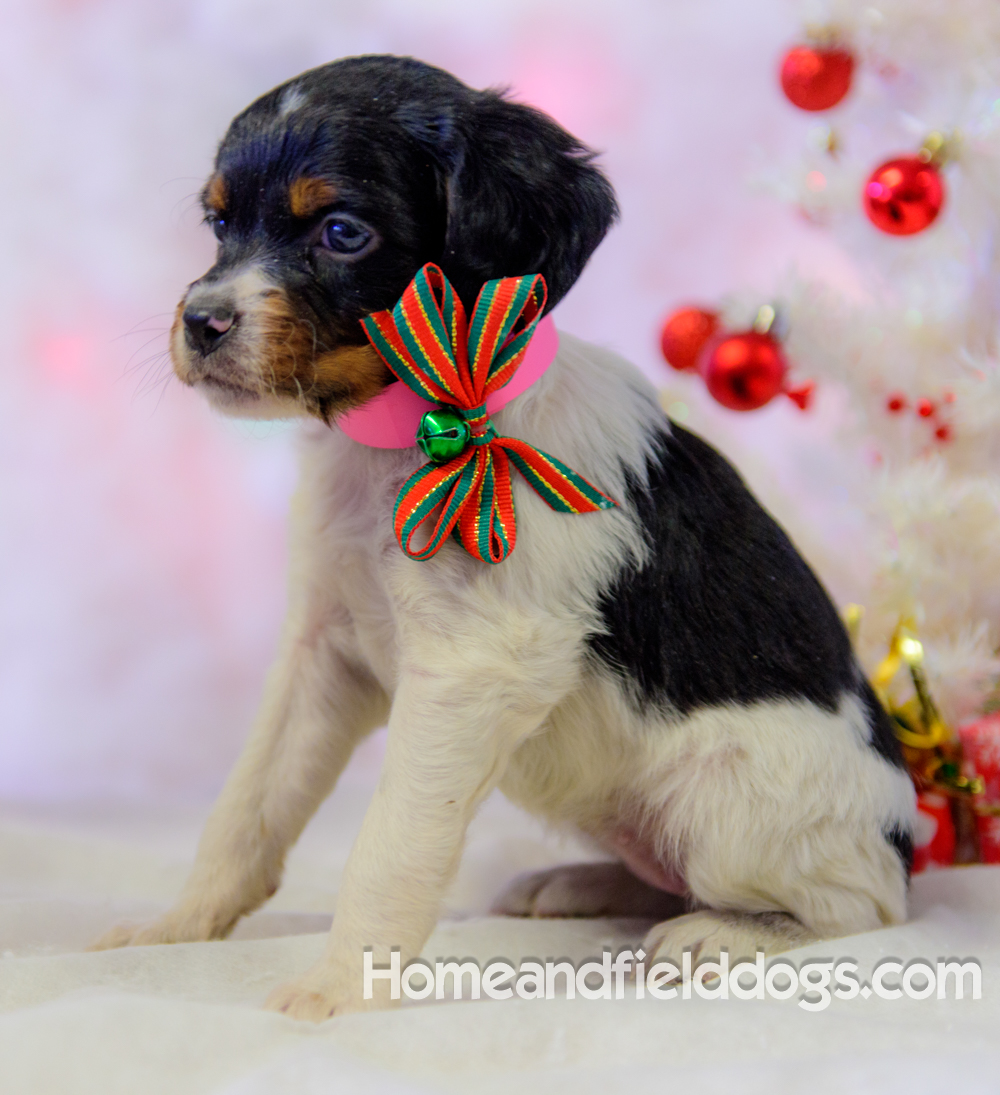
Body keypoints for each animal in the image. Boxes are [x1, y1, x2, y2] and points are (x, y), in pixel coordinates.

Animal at [91, 57, 911, 1016]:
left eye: (342, 232)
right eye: (219, 223)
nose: (202, 321)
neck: (417, 433)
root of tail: (909, 832)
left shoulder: (472, 670)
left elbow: (391, 842)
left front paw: (342, 987)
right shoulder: (324, 649)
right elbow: (246, 803)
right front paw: (176, 927)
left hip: (731, 802)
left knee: (862, 906)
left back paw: (732, 931)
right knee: (670, 874)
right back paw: (582, 882)